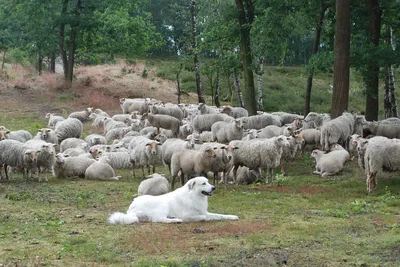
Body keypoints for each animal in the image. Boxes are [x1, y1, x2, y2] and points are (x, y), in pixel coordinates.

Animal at [107, 178, 238, 224]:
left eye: (209, 182)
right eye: (203, 183)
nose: (214, 187)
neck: (193, 196)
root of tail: (131, 207)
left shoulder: (205, 211)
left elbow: (220, 215)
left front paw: (233, 216)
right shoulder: (189, 215)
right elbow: (203, 217)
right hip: (163, 205)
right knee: (158, 219)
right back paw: (176, 220)